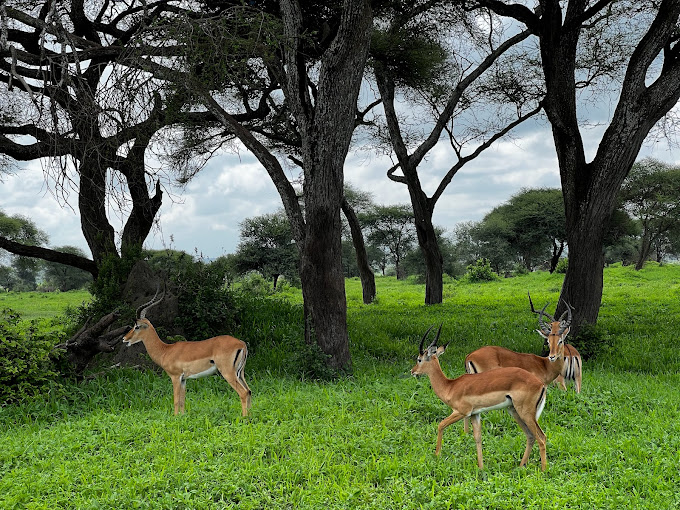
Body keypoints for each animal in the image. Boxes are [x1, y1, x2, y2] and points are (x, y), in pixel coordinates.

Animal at [122, 288, 251, 416]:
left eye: (136, 326)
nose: (124, 338)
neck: (165, 350)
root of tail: (241, 344)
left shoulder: (175, 377)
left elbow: (176, 400)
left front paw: (175, 418)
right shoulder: (183, 379)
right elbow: (182, 401)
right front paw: (182, 417)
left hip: (228, 373)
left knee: (243, 392)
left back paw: (244, 418)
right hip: (240, 373)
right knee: (249, 391)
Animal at [411, 325, 548, 471]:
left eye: (419, 359)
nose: (412, 371)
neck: (450, 386)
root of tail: (541, 384)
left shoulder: (460, 412)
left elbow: (440, 425)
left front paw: (436, 455)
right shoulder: (474, 414)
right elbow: (477, 437)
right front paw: (481, 468)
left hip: (525, 413)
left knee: (541, 437)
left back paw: (543, 471)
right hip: (515, 411)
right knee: (530, 436)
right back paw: (521, 466)